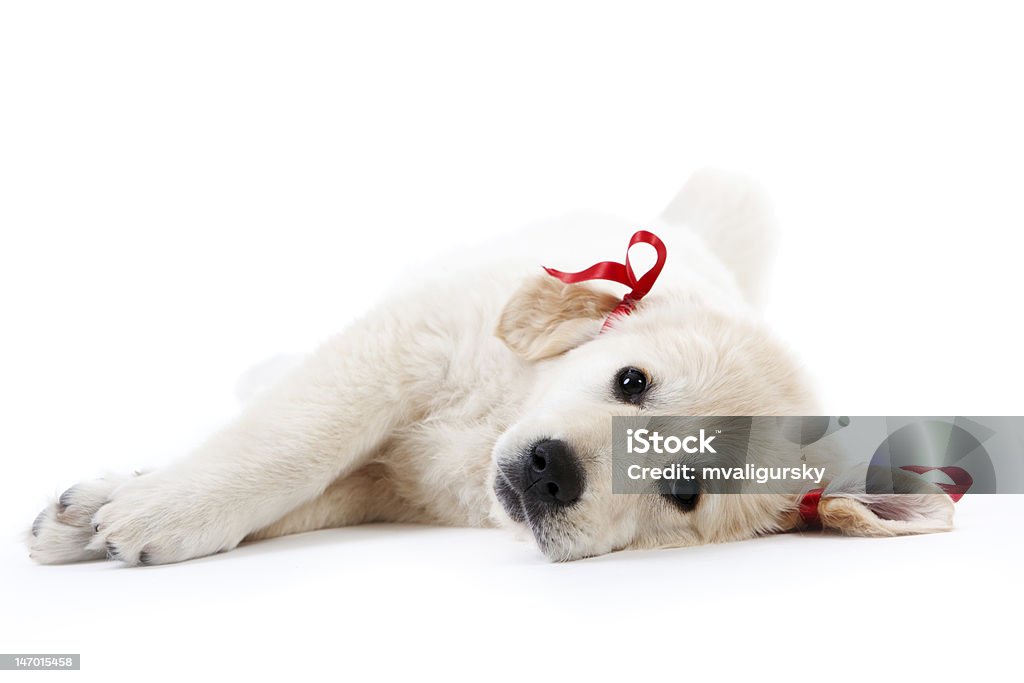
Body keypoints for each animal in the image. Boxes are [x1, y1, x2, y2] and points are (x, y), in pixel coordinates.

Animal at [25, 167, 950, 565]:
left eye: (684, 490)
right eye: (631, 382)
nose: (550, 471)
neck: (493, 420)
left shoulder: (397, 484)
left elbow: (310, 491)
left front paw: (125, 512)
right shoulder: (410, 342)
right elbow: (295, 437)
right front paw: (148, 503)